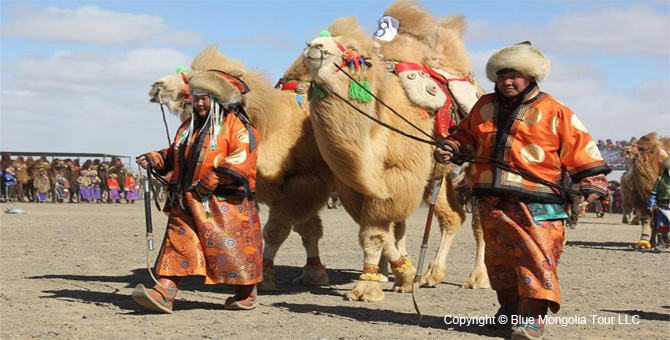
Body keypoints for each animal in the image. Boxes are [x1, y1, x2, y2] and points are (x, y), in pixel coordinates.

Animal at [148, 45, 334, 290]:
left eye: (193, 78)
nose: (156, 85)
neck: (274, 125)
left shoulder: (306, 181)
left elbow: (276, 231)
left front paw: (265, 276)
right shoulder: (296, 188)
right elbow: (308, 230)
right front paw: (314, 273)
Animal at [304, 12, 488, 300]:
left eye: (352, 49)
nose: (315, 46)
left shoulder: (400, 171)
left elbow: (375, 231)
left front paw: (369, 288)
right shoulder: (357, 186)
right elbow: (381, 230)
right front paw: (403, 276)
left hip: (475, 167)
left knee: (479, 223)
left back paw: (477, 278)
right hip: (439, 174)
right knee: (453, 216)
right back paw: (432, 274)